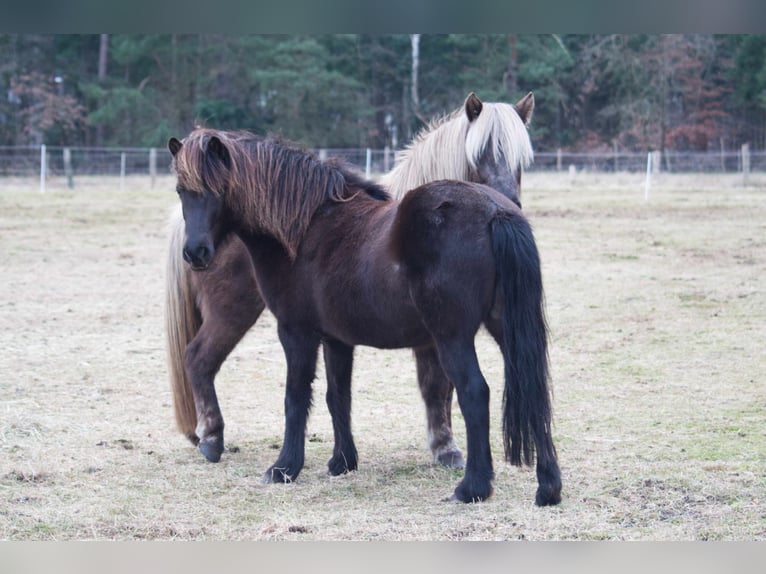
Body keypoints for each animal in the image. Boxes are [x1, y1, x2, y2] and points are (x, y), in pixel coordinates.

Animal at [170, 128, 564, 506]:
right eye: (180, 190)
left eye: (218, 189)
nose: (196, 253)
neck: (307, 228)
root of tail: (496, 211)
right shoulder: (336, 340)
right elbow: (337, 396)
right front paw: (342, 462)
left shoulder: (296, 332)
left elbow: (295, 397)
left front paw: (284, 468)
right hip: (506, 329)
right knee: (534, 388)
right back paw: (548, 488)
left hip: (452, 337)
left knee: (474, 393)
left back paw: (472, 488)